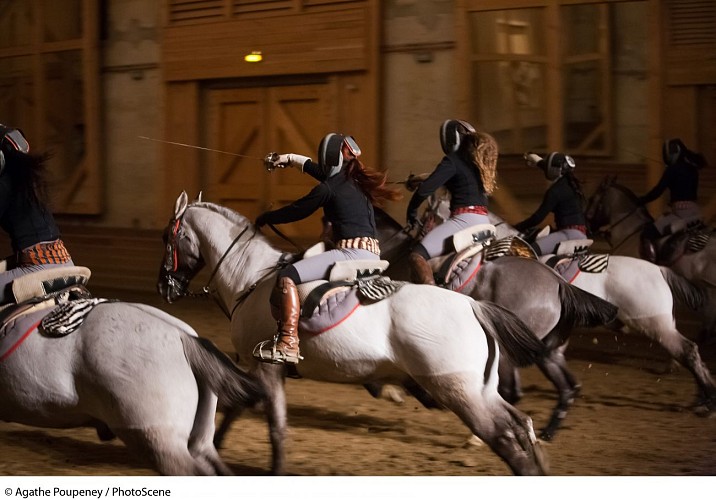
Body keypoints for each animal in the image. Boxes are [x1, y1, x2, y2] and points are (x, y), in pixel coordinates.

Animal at [157, 191, 548, 476]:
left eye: (168, 237)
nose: (164, 287)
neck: (251, 278)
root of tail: (471, 306)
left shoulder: (268, 369)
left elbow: (276, 430)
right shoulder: (262, 370)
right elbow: (237, 409)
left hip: (460, 392)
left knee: (504, 437)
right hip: (480, 390)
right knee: (521, 424)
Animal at [374, 205, 616, 440]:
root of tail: (560, 284)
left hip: (508, 349)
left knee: (511, 393)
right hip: (548, 353)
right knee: (568, 389)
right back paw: (546, 432)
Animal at [486, 210, 716, 414]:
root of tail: (659, 269)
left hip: (656, 325)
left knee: (687, 351)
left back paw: (706, 403)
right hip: (665, 326)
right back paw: (702, 398)